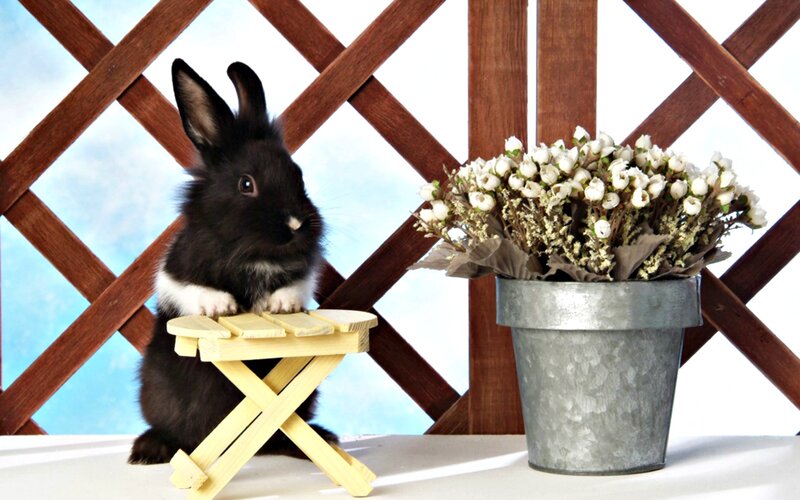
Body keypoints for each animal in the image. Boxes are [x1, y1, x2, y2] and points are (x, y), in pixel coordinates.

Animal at [128, 59, 332, 465]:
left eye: (298, 176)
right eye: (246, 184)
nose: (296, 225)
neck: (254, 252)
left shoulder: (303, 271)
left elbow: (298, 284)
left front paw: (280, 304)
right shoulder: (176, 272)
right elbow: (190, 289)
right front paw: (221, 306)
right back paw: (148, 449)